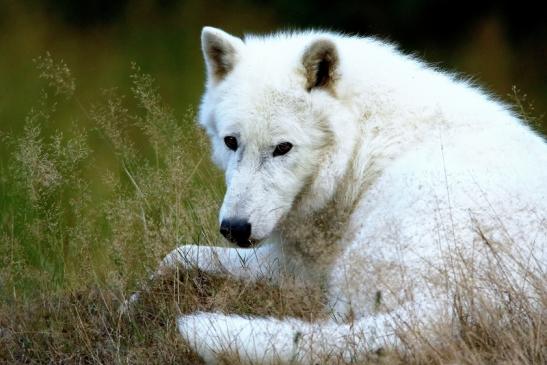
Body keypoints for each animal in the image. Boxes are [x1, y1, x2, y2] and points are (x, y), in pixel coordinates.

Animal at [156, 27, 544, 362]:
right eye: (231, 142)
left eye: (283, 148)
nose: (234, 229)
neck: (361, 140)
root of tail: (455, 301)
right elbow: (176, 255)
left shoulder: (299, 271)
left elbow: (186, 255)